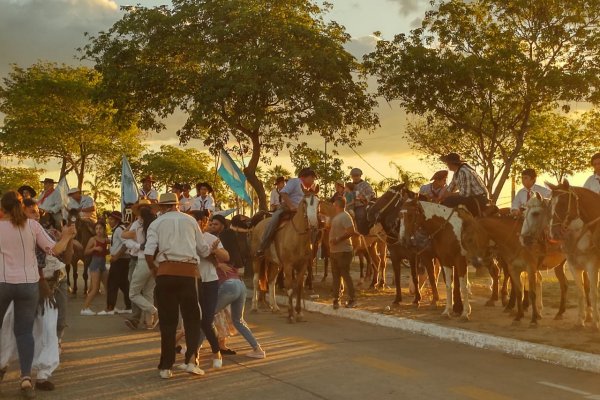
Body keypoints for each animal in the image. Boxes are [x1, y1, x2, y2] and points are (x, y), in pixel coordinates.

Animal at [250, 194, 322, 322]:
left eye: (319, 203)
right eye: (305, 202)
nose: (314, 223)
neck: (297, 236)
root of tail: (258, 225)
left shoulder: (302, 266)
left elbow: (299, 287)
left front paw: (299, 312)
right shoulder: (288, 266)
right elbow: (289, 288)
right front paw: (291, 314)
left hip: (276, 264)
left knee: (271, 281)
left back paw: (274, 307)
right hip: (257, 259)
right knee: (256, 280)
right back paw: (254, 307)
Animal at [548, 181, 600, 328]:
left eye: (563, 202)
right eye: (550, 204)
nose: (553, 233)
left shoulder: (592, 265)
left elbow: (594, 292)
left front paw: (596, 322)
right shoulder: (574, 266)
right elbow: (581, 292)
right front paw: (580, 320)